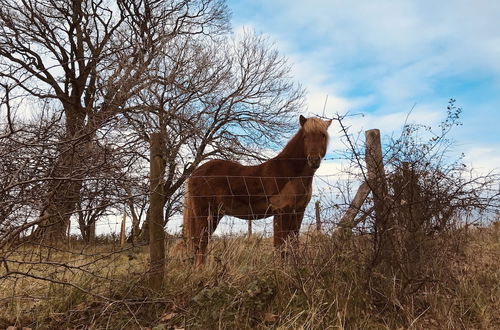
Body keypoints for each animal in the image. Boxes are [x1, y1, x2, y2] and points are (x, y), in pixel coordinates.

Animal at [182, 114, 330, 264]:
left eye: (323, 135)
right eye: (305, 136)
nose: (314, 160)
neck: (290, 173)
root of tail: (195, 173)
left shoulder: (298, 212)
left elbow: (293, 244)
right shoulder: (282, 212)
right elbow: (280, 246)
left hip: (214, 215)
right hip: (204, 214)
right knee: (200, 243)